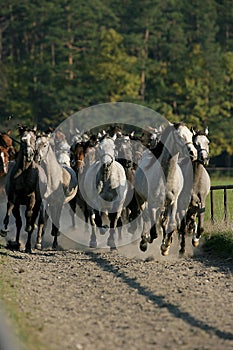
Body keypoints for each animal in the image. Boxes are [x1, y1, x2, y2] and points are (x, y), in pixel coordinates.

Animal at [134, 121, 198, 256]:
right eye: (179, 135)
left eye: (191, 135)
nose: (193, 153)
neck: (167, 176)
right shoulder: (152, 204)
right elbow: (154, 229)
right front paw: (148, 240)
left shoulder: (173, 202)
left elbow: (171, 223)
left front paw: (166, 246)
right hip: (140, 199)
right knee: (145, 217)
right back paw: (143, 241)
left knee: (162, 221)